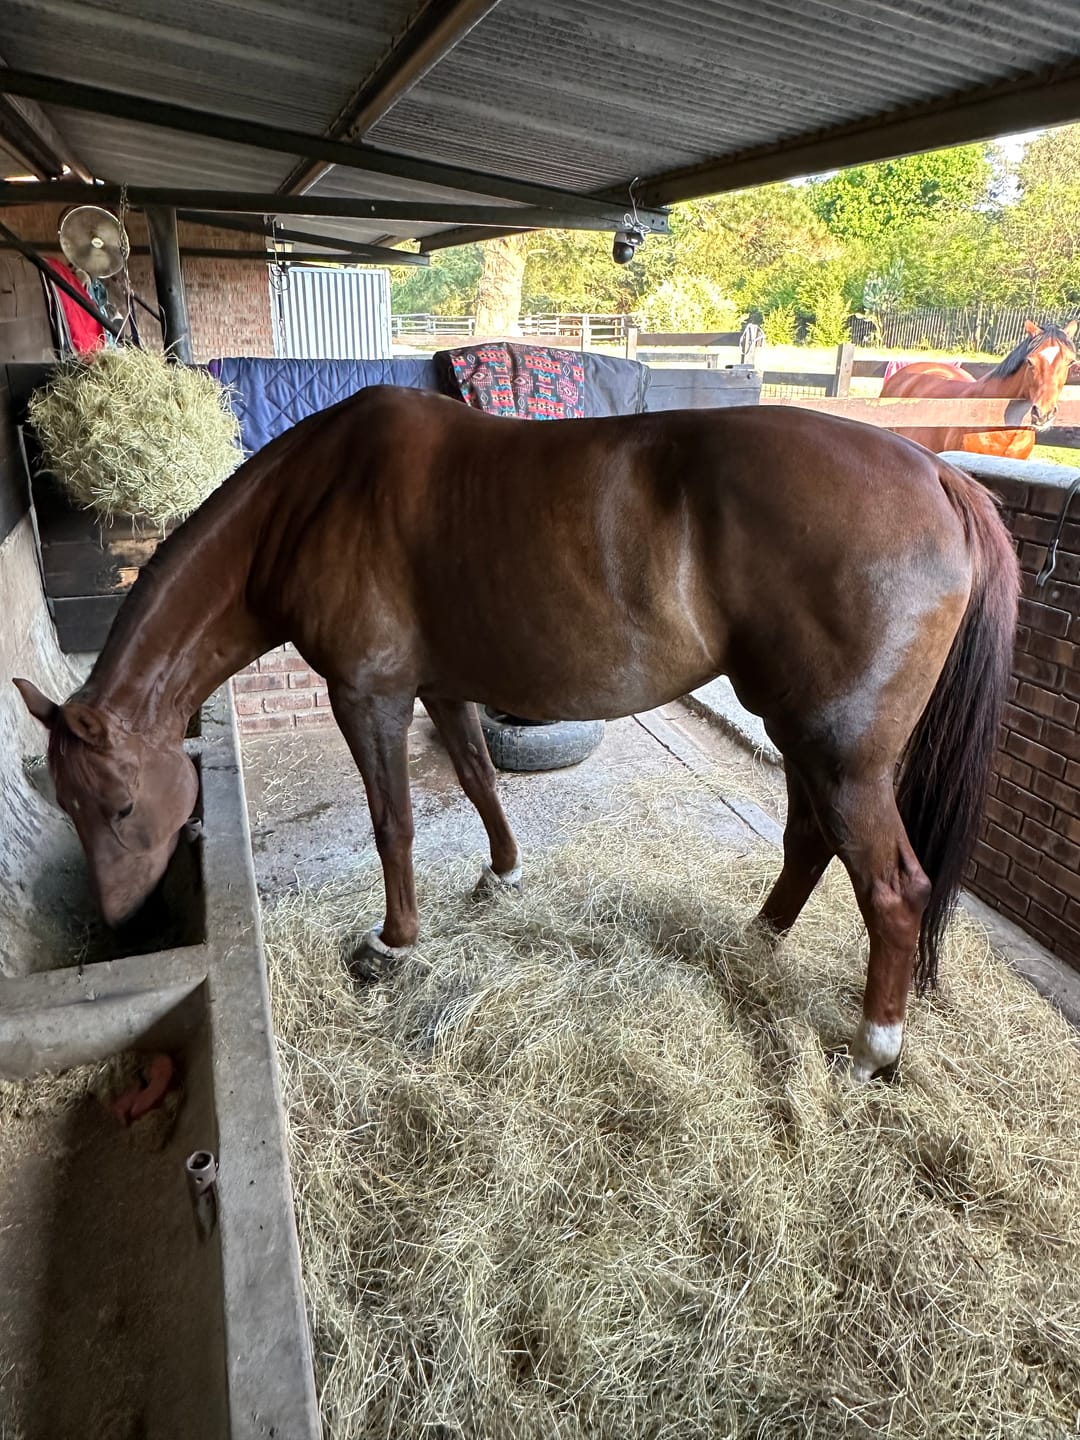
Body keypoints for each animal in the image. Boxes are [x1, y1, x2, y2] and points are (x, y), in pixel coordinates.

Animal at [14, 386, 1018, 1081]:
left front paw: (394, 944)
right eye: (67, 804)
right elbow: (477, 780)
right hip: (801, 731)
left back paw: (872, 1049)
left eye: (120, 806)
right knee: (810, 840)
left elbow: (394, 822)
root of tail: (937, 474)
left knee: (892, 889)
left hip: (843, 752)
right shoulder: (444, 689)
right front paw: (501, 876)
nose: (122, 922)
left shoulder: (369, 696)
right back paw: (756, 940)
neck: (314, 499)